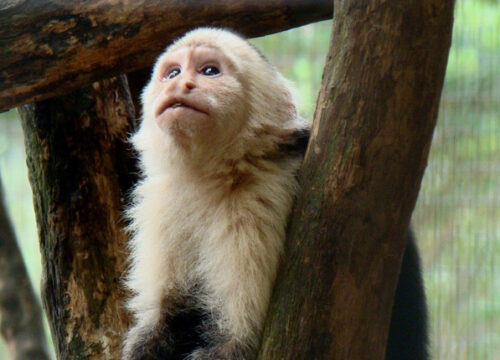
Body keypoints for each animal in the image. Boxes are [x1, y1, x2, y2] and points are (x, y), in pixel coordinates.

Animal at [122, 26, 430, 358]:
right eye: (173, 72)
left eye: (209, 71)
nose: (180, 84)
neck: (210, 177)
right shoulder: (163, 203)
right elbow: (165, 319)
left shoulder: (259, 198)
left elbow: (237, 341)